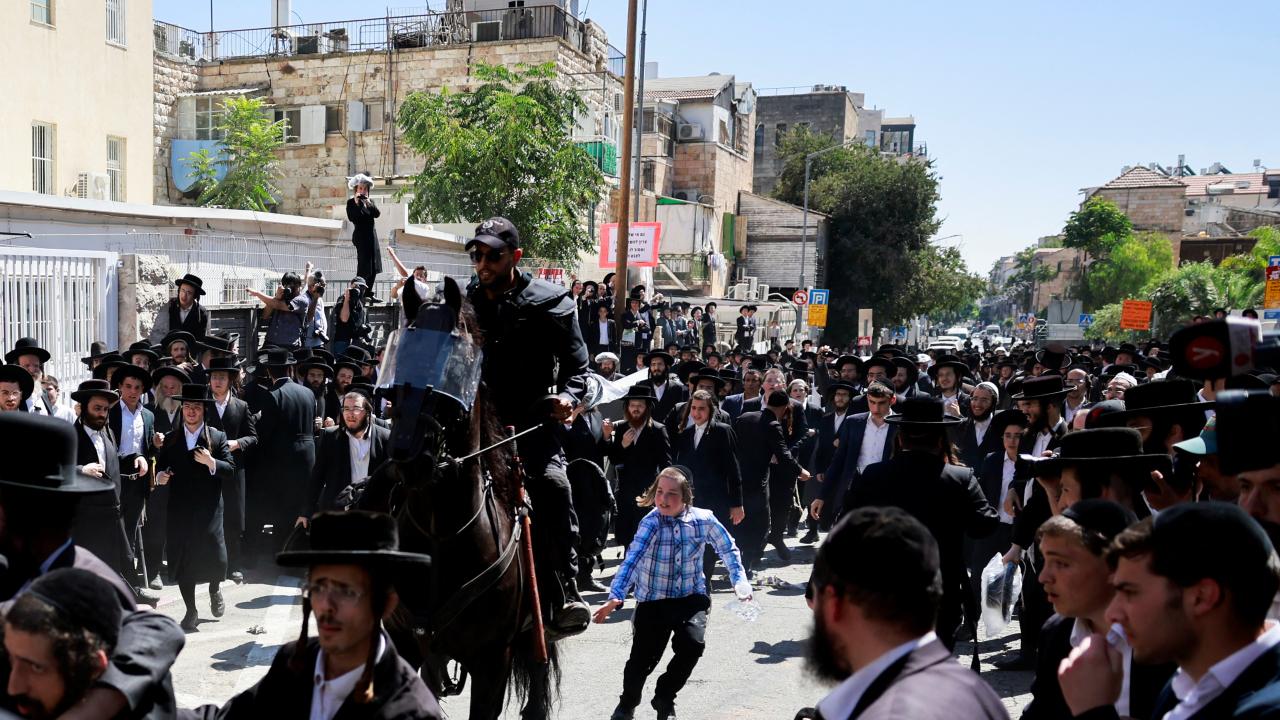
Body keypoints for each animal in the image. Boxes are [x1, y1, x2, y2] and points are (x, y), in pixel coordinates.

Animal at [360, 275, 560, 717]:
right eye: (400, 356)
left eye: (451, 365)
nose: (407, 454)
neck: (441, 533)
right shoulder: (407, 646)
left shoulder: (492, 661)